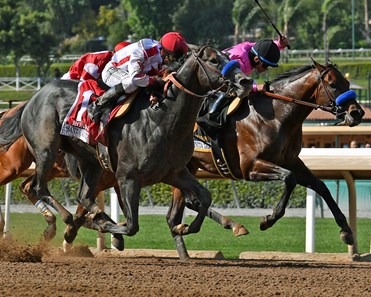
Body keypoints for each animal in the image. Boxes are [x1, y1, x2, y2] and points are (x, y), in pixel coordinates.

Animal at [0, 45, 253, 251]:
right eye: (213, 60)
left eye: (229, 57)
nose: (245, 82)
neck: (163, 118)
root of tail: (32, 98)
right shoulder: (128, 177)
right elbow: (131, 225)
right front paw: (109, 230)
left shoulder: (175, 172)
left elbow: (205, 197)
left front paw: (183, 227)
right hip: (46, 151)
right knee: (38, 187)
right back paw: (74, 220)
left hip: (90, 162)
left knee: (82, 195)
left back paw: (93, 216)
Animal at [169, 60, 366, 260]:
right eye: (333, 85)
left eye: (347, 83)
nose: (357, 113)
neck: (276, 117)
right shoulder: (250, 167)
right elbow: (289, 178)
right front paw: (268, 220)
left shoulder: (292, 162)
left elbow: (321, 186)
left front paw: (346, 231)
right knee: (182, 209)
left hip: (185, 167)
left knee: (177, 213)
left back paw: (192, 243)